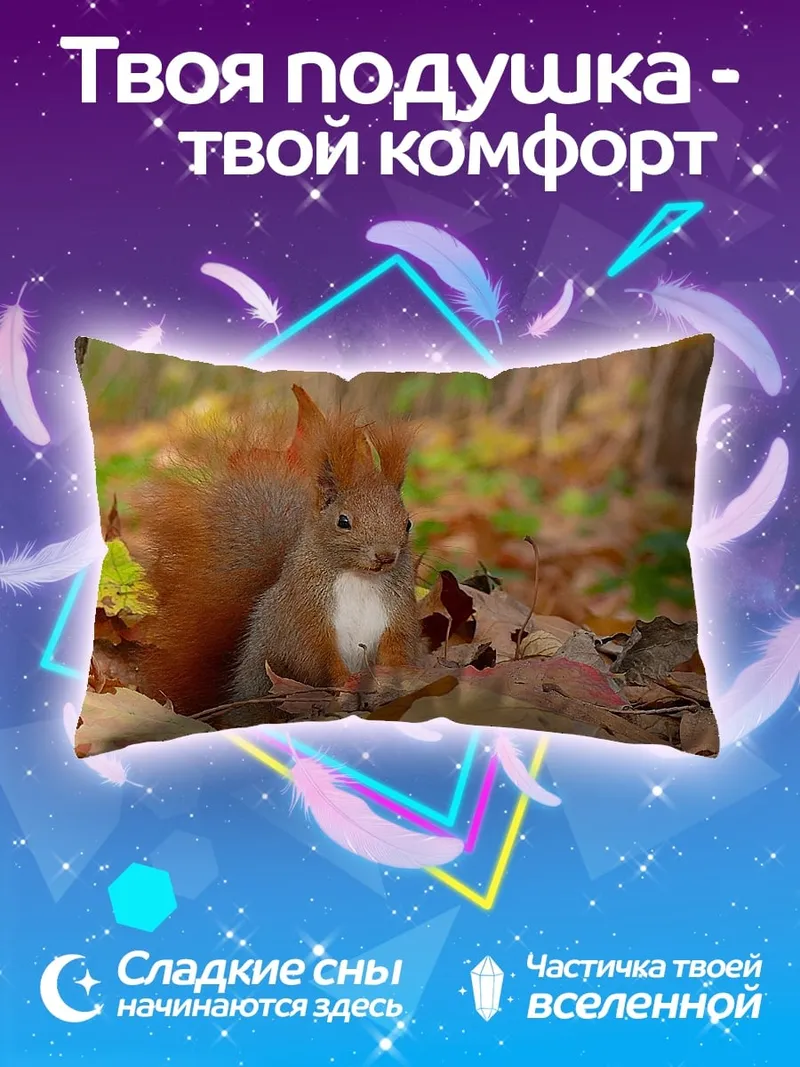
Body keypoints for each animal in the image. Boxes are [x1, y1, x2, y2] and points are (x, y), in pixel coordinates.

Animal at [135, 386, 422, 716]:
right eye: (343, 521)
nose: (385, 556)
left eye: (407, 523)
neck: (359, 577)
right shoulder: (304, 614)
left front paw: (390, 681)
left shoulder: (398, 612)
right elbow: (314, 655)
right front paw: (346, 685)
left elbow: (399, 646)